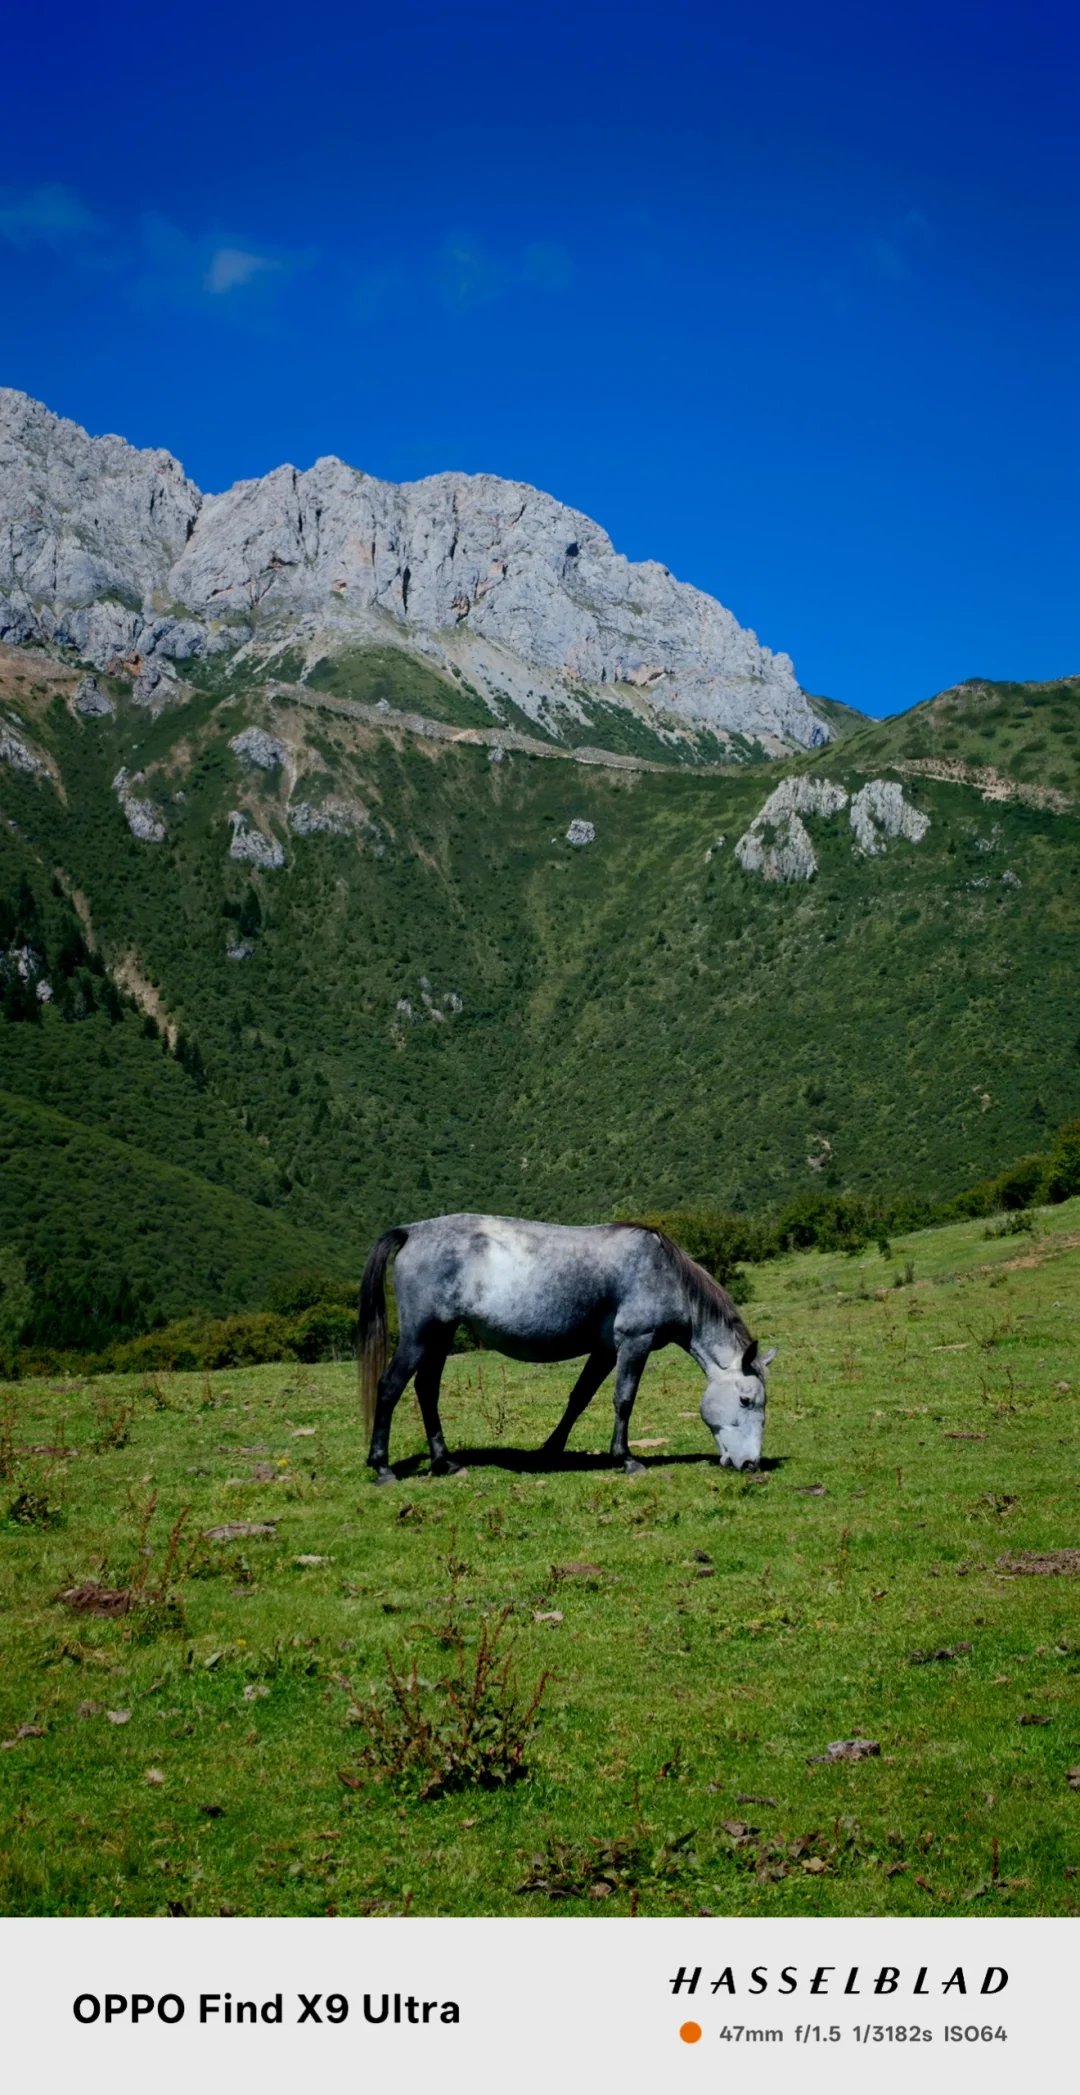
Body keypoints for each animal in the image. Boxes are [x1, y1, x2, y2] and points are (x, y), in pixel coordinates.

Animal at [358, 1212, 775, 1482]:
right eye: (745, 1400)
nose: (750, 1464)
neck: (663, 1272)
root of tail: (413, 1231)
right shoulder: (633, 1342)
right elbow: (624, 1399)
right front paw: (626, 1459)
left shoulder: (606, 1351)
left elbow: (580, 1397)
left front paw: (550, 1450)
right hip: (420, 1336)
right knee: (391, 1387)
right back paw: (382, 1466)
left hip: (440, 1336)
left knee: (426, 1390)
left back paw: (445, 1462)